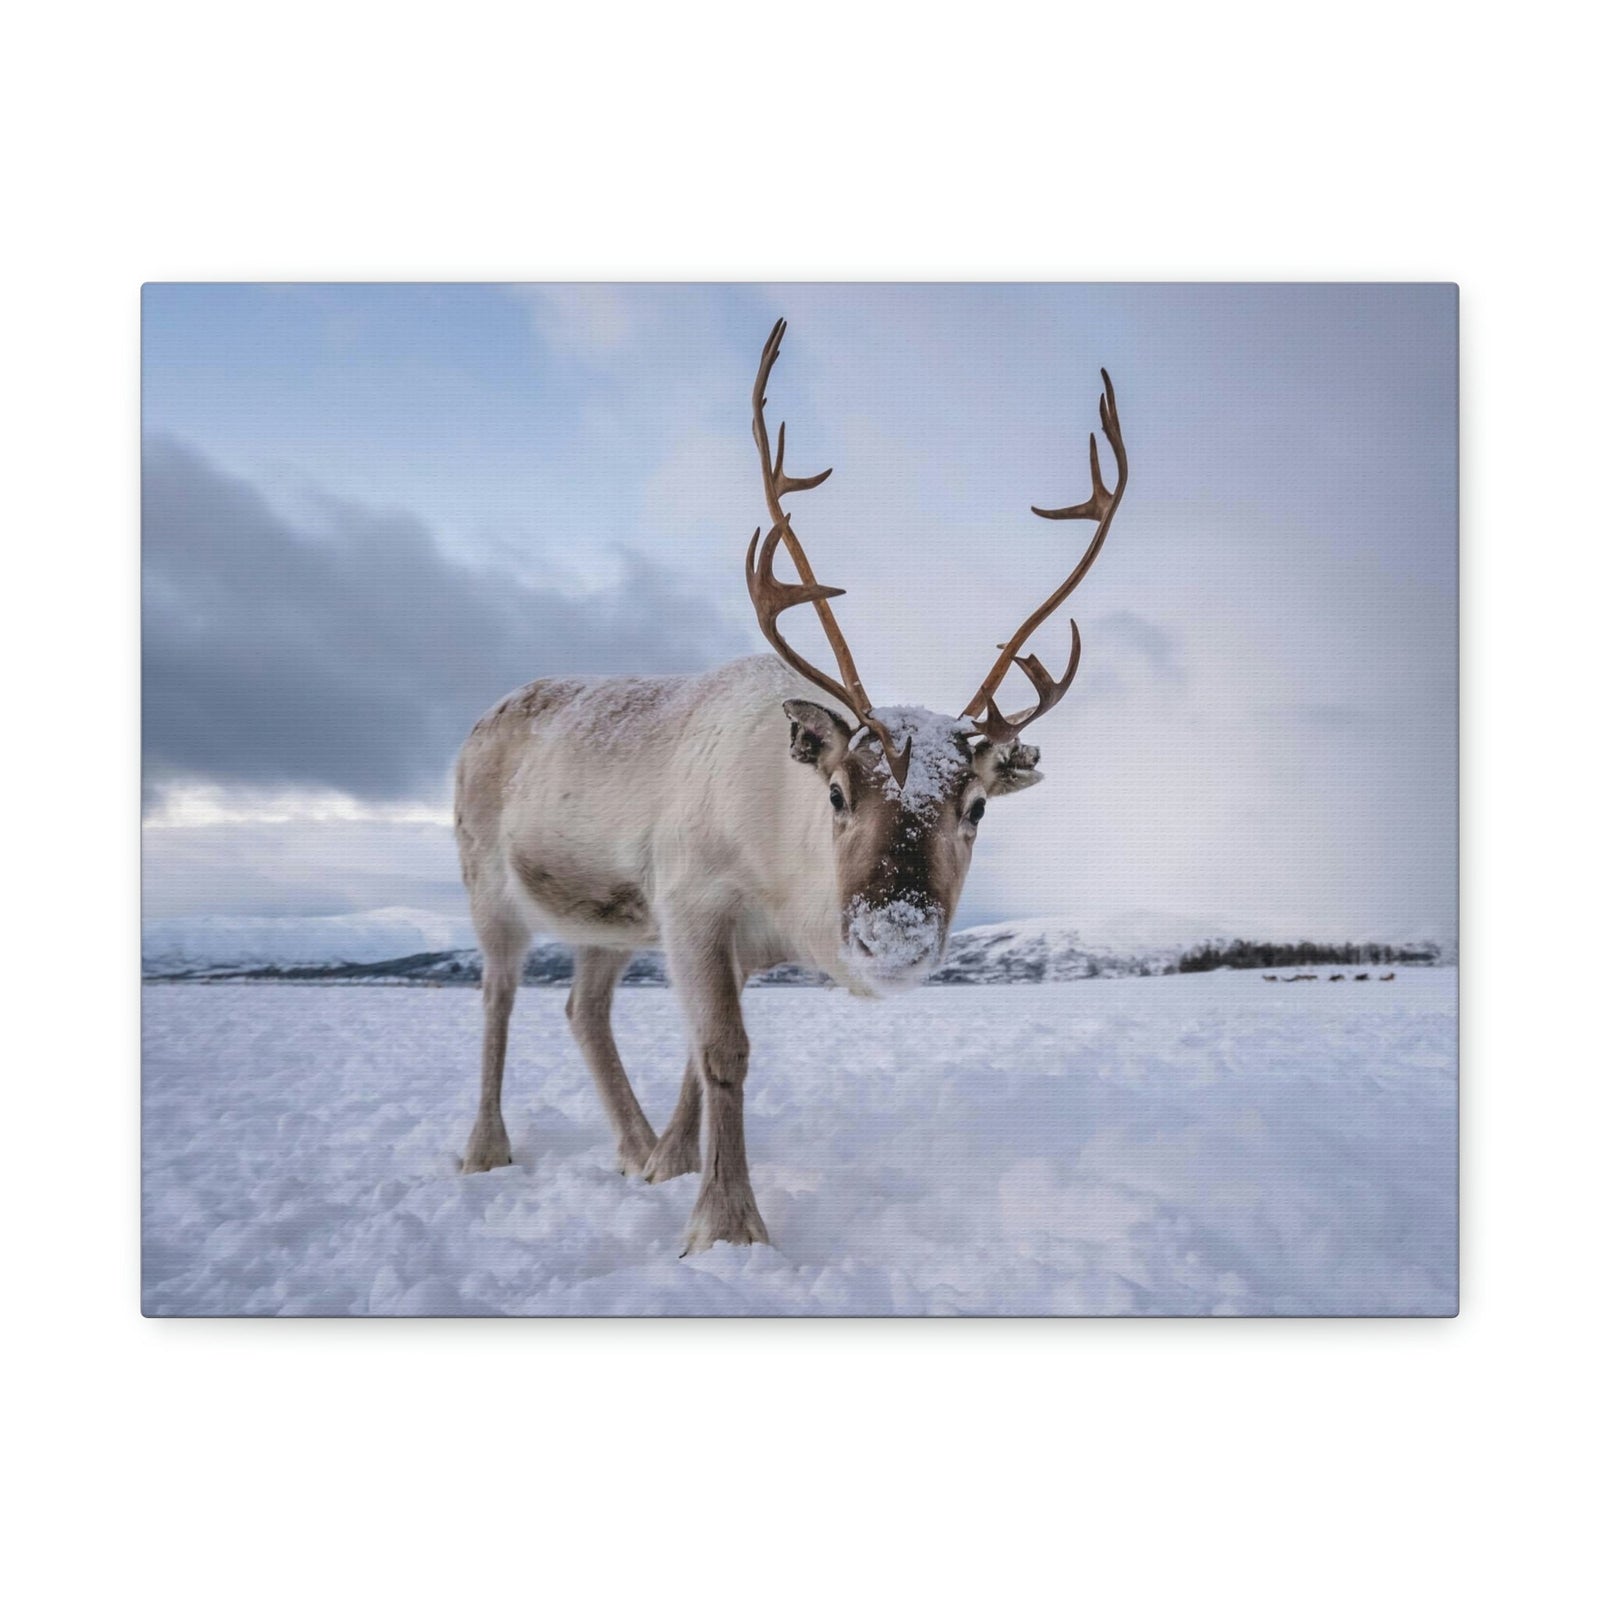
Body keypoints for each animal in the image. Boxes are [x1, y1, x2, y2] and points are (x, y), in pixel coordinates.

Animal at [452, 319, 1127, 1253]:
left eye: (977, 806)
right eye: (838, 792)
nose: (894, 935)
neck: (782, 873)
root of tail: (482, 720)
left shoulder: (723, 939)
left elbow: (699, 1057)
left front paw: (672, 1166)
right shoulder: (693, 902)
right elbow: (723, 1052)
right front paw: (727, 1225)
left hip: (607, 923)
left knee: (583, 1011)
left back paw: (631, 1147)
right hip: (489, 884)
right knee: (498, 998)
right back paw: (485, 1149)